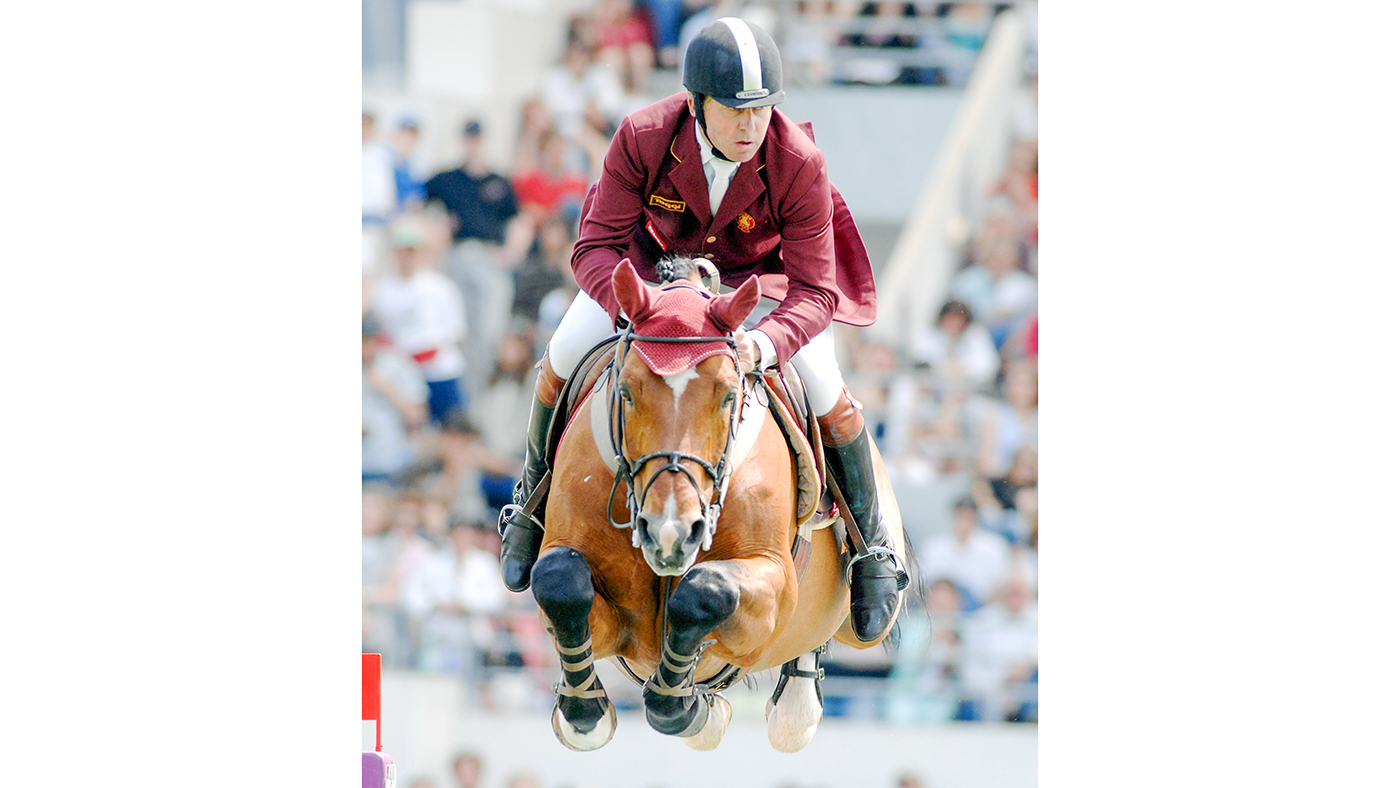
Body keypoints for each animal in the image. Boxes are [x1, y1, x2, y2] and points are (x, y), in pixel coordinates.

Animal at [526, 258, 907, 750]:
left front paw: (680, 704)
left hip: (861, 624)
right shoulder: (581, 578)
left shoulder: (772, 585)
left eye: (728, 394)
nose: (670, 532)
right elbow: (559, 580)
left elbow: (706, 590)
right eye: (626, 392)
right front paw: (585, 713)